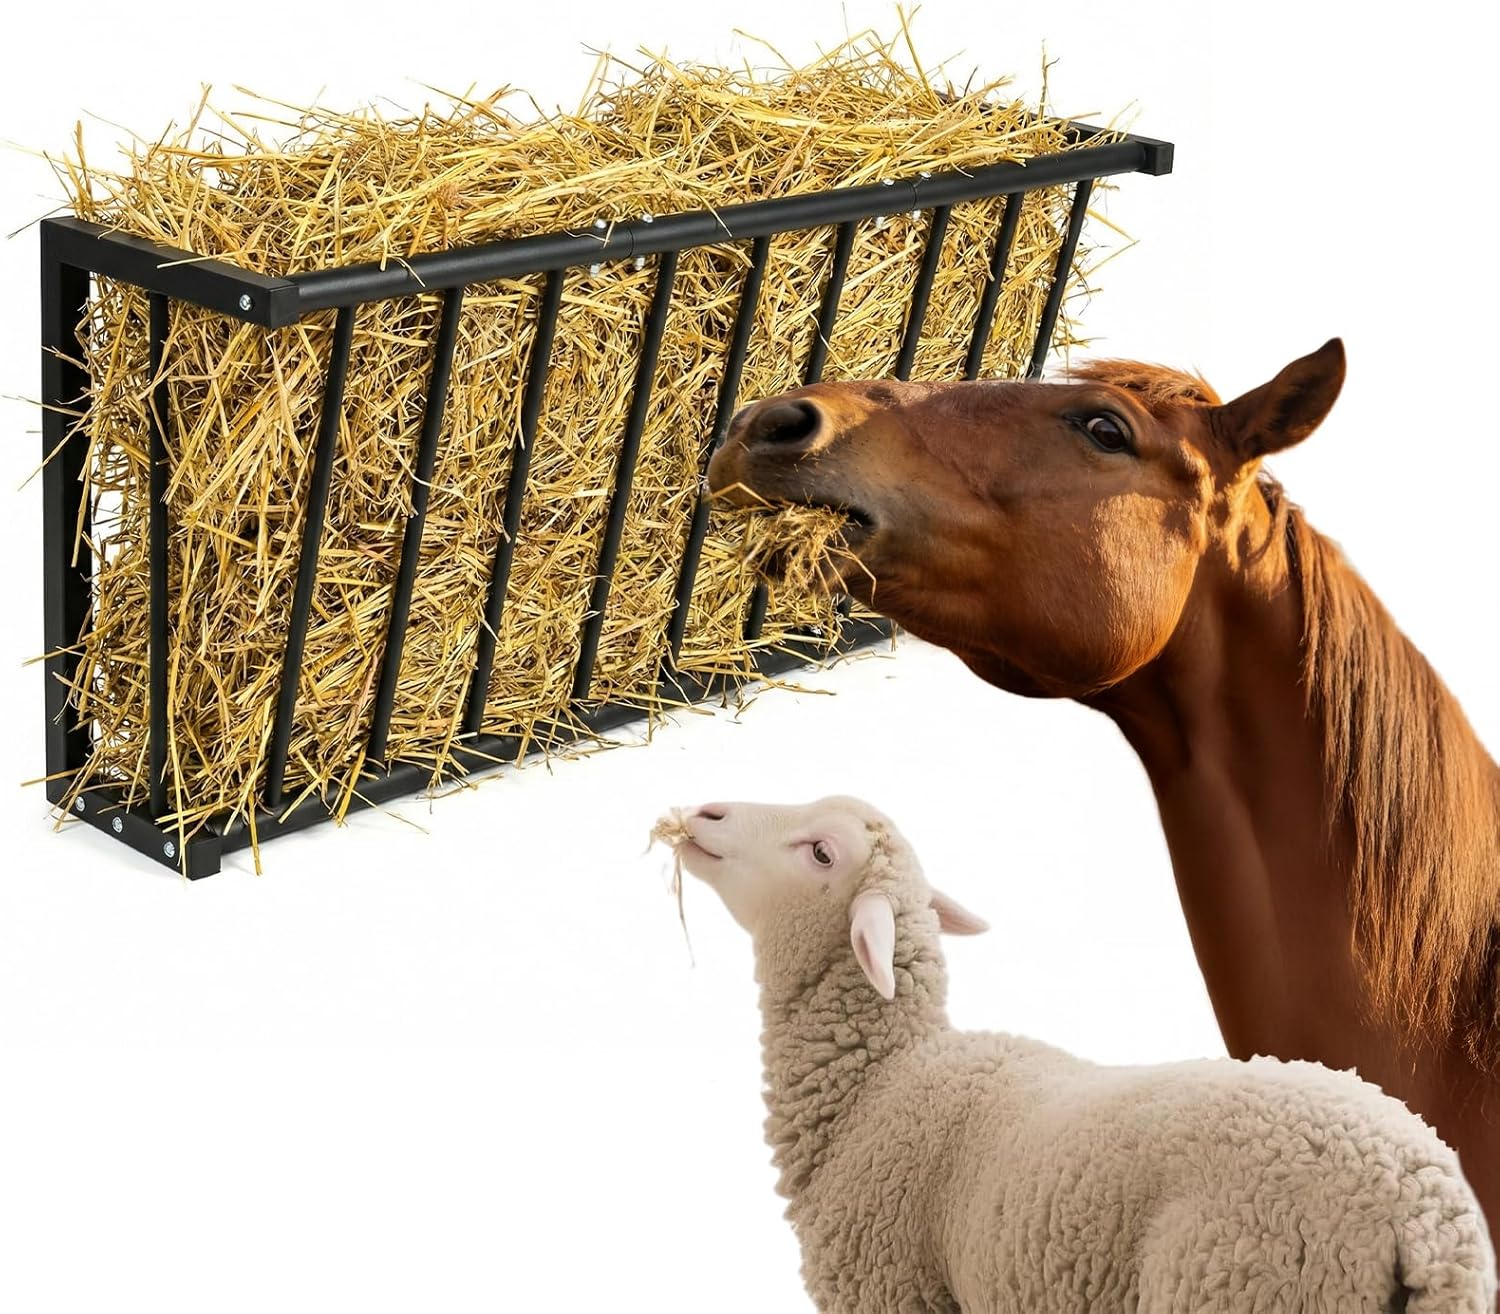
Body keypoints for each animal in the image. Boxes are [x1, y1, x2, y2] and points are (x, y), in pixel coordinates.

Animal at [656, 795, 1496, 1313]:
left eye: (822, 854)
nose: (702, 813)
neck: (882, 1083)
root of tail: (1427, 1217)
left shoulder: (892, 1290)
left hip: (1245, 1284)